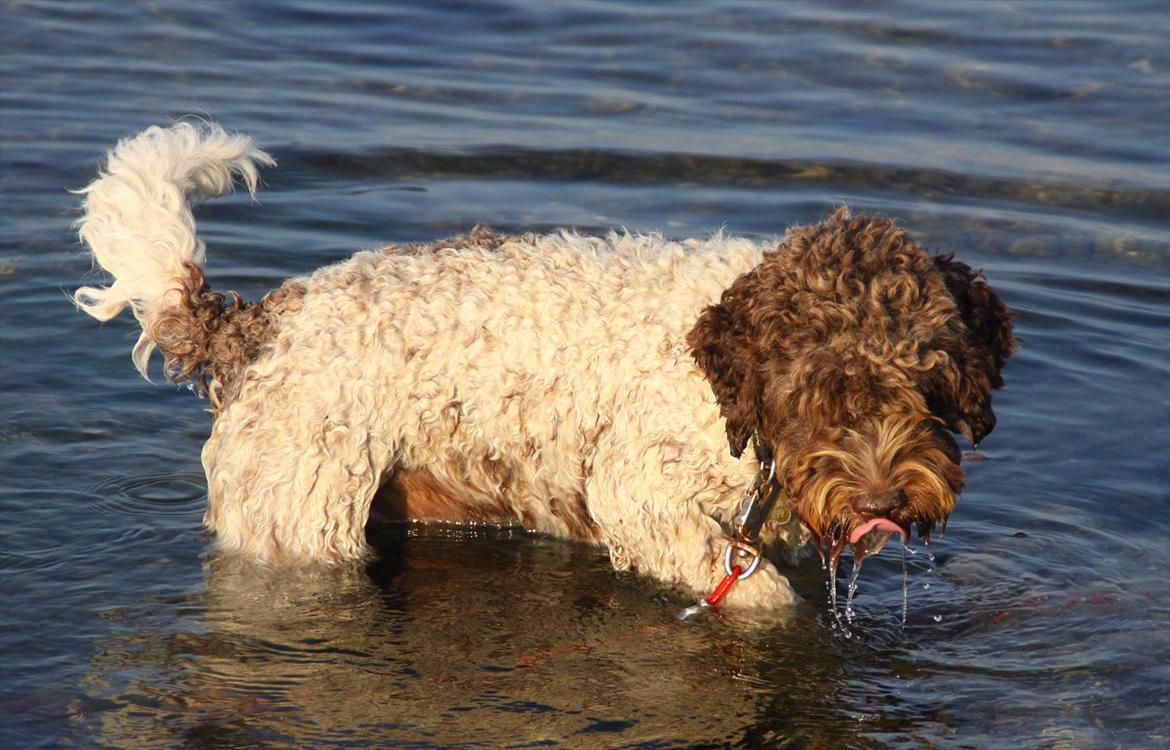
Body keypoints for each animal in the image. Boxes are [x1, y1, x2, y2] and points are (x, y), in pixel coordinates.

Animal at [75, 122, 1015, 608]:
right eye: (825, 392)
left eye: (931, 387)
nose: (886, 503)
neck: (731, 405)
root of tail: (258, 322)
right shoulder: (642, 491)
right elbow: (755, 599)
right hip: (301, 515)